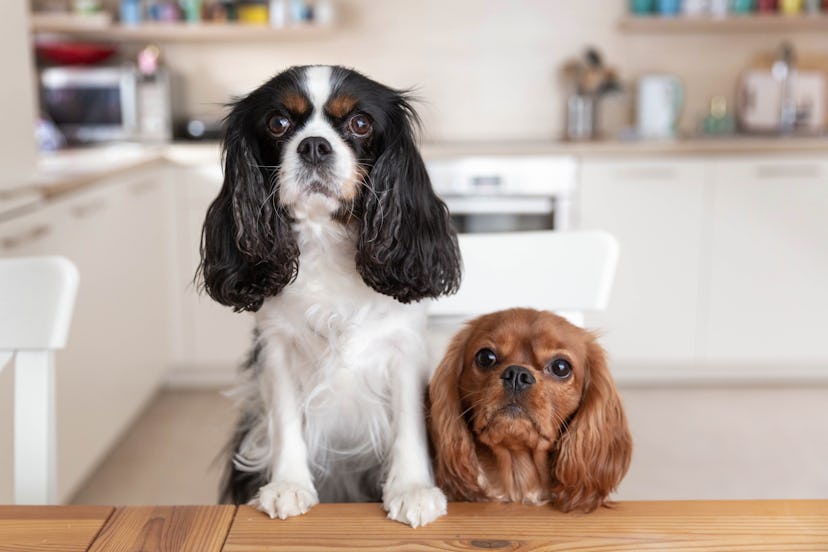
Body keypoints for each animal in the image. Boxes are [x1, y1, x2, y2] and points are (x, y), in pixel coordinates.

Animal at [198, 64, 462, 528]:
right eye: (278, 122)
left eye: (360, 123)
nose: (314, 146)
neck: (325, 238)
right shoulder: (277, 349)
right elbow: (286, 420)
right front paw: (288, 486)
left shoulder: (404, 349)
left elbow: (409, 422)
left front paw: (412, 489)